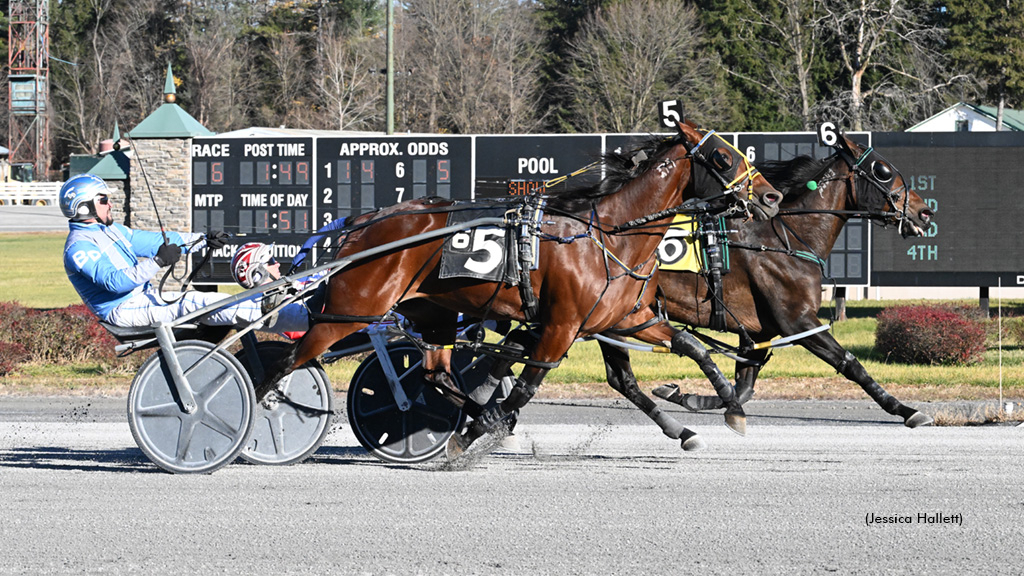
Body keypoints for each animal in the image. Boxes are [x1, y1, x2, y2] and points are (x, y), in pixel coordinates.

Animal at [258, 120, 782, 453]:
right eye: (722, 156)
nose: (772, 196)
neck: (607, 235)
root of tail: (363, 223)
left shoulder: (625, 320)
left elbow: (691, 349)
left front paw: (725, 409)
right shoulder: (560, 325)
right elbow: (529, 385)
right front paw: (475, 434)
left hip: (433, 315)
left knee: (436, 374)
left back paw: (473, 410)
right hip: (351, 311)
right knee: (288, 360)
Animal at [647, 131, 937, 426]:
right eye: (883, 171)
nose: (925, 212)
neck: (786, 240)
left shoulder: (760, 330)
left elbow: (743, 387)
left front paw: (685, 396)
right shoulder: (797, 321)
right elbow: (850, 363)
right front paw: (905, 409)